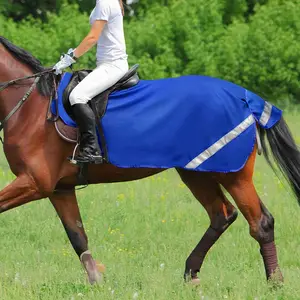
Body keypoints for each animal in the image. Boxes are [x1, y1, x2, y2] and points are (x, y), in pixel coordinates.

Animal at [0, 35, 300, 286]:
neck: (30, 108)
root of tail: (244, 97)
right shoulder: (59, 189)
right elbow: (77, 236)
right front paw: (97, 281)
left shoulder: (35, 183)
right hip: (196, 172)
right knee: (221, 215)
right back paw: (191, 273)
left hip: (233, 175)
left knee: (260, 222)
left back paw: (275, 282)